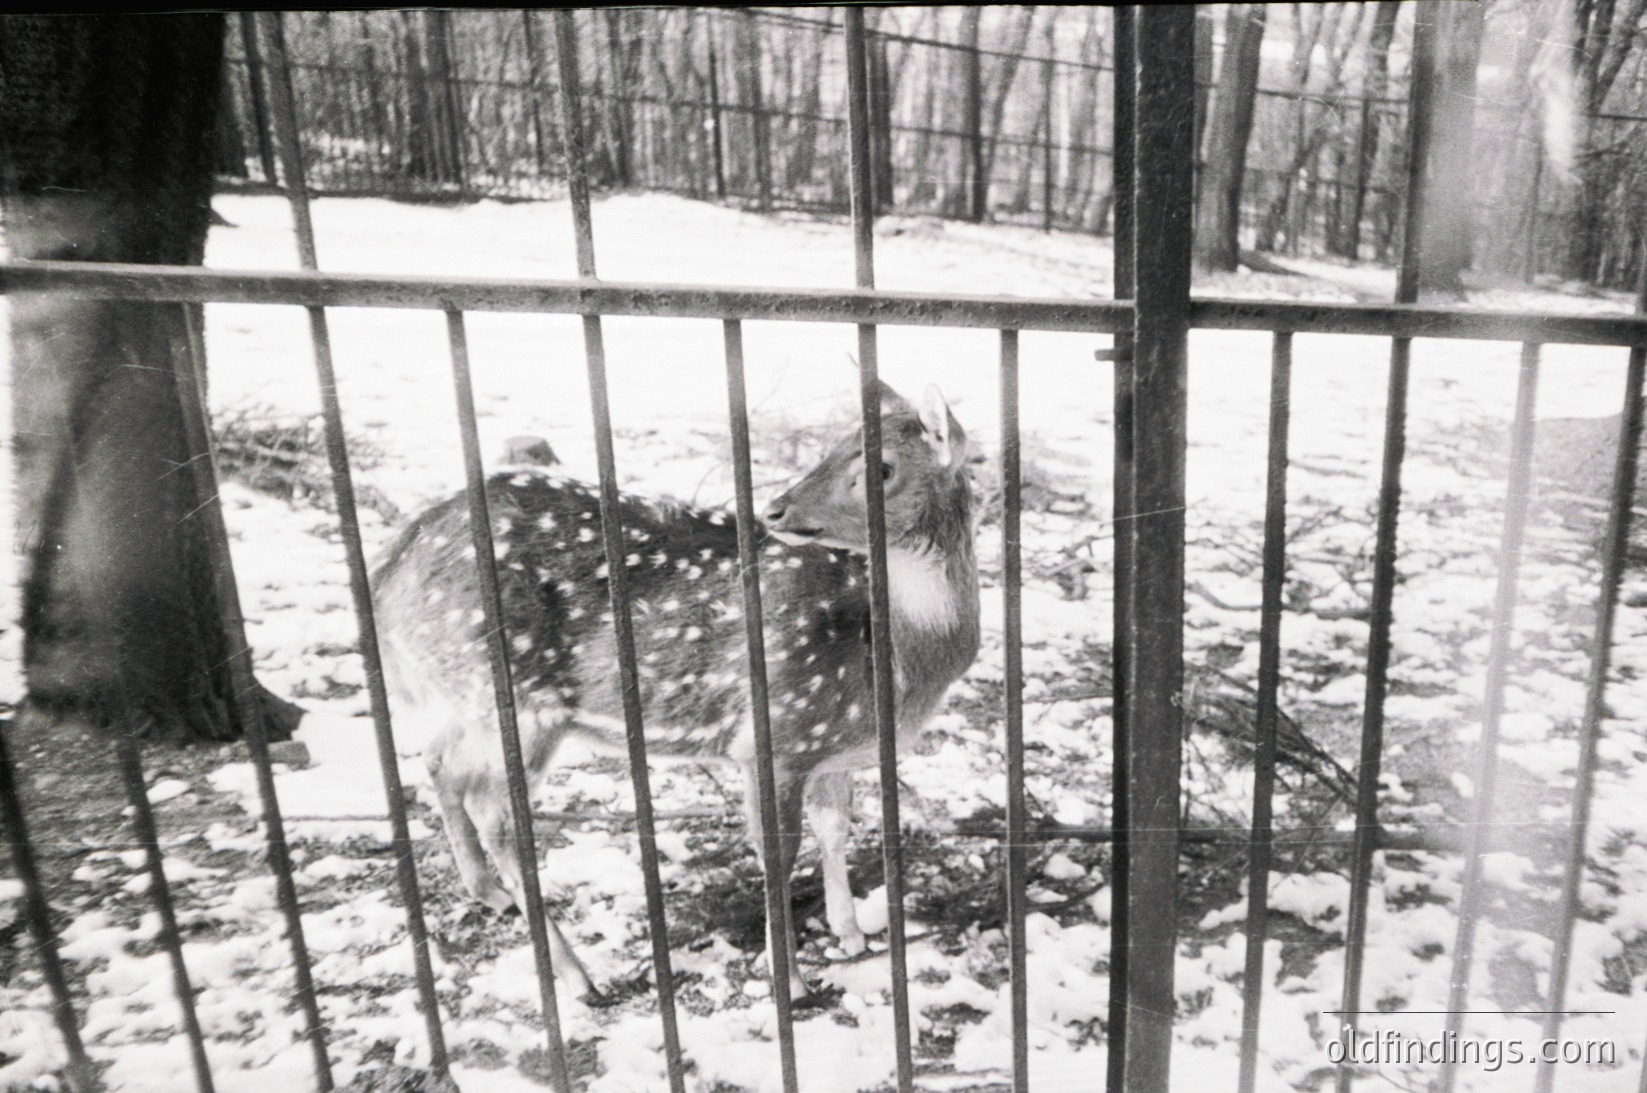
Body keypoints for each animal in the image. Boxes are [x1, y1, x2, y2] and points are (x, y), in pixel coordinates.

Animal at [372, 381, 980, 1002]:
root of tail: (388, 569)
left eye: (880, 467)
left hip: (471, 696)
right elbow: (778, 854)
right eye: (831, 450)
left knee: (438, 759)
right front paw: (790, 981)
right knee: (495, 809)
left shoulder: (830, 745)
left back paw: (489, 892)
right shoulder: (776, 732)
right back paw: (577, 975)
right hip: (519, 699)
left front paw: (852, 935)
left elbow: (834, 829)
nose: (775, 509)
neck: (894, 661)